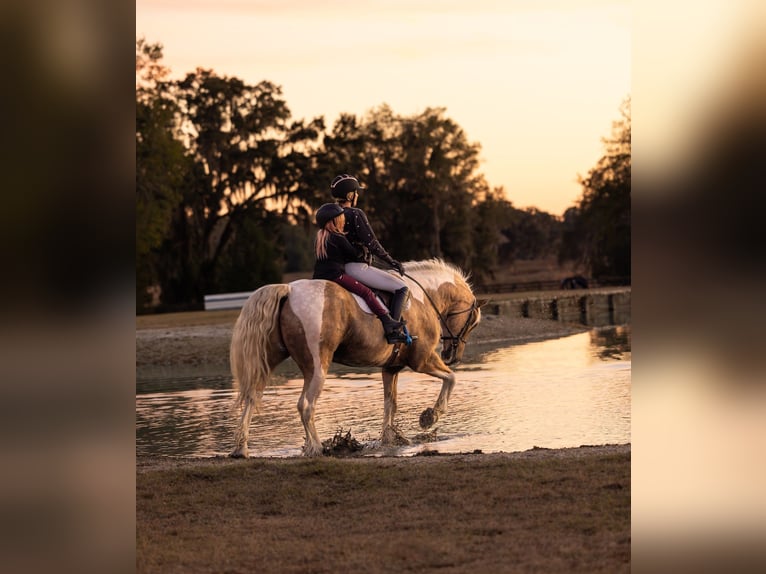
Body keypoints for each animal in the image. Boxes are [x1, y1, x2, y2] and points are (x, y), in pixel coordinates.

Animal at [229, 258, 484, 457]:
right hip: (317, 366)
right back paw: (316, 448)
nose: (452, 356)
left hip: (270, 359)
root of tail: (289, 291)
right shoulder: (422, 360)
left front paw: (390, 440)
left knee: (252, 397)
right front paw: (430, 416)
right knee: (306, 405)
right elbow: (451, 379)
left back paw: (241, 449)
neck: (424, 296)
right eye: (473, 322)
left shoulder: (391, 368)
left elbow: (390, 404)